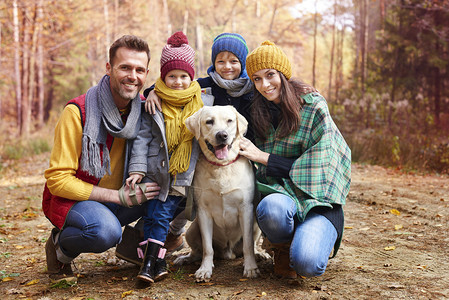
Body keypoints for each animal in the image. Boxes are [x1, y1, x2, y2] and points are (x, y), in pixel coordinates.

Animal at [175, 105, 260, 282]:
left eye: (229, 121)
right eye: (209, 121)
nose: (222, 135)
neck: (222, 167)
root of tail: (228, 253)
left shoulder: (246, 208)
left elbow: (248, 245)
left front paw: (250, 268)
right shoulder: (203, 212)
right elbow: (208, 248)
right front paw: (204, 270)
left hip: (256, 225)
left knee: (251, 245)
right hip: (192, 230)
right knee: (198, 251)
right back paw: (185, 258)